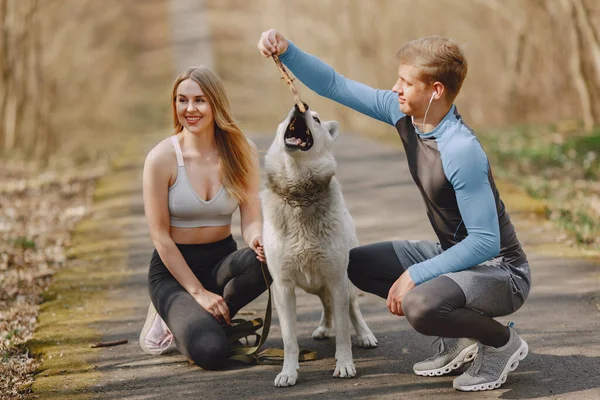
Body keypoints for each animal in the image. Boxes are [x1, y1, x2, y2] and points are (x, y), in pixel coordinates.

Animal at [262, 104, 378, 388]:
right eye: (288, 113)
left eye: (315, 118)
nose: (298, 107)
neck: (299, 192)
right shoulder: (283, 287)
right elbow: (289, 340)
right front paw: (288, 372)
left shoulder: (336, 280)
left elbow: (344, 333)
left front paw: (345, 365)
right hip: (314, 285)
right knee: (326, 305)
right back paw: (324, 328)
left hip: (346, 282)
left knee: (353, 309)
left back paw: (365, 335)